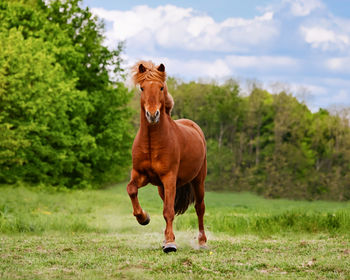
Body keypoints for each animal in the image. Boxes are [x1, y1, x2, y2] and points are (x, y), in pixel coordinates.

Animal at [126, 60, 206, 253]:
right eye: (142, 88)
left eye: (161, 87)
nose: (152, 114)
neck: (151, 143)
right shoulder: (141, 175)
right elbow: (131, 189)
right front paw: (144, 218)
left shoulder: (169, 178)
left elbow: (168, 211)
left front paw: (170, 243)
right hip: (162, 188)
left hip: (198, 180)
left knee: (199, 208)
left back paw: (202, 242)